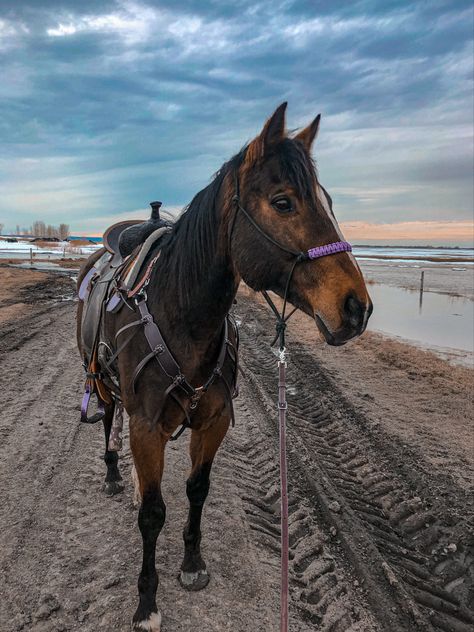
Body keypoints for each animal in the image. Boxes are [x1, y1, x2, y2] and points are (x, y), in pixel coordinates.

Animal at [77, 101, 374, 628]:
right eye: (283, 202)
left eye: (329, 201)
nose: (356, 307)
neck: (182, 317)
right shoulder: (147, 426)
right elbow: (152, 514)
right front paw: (147, 602)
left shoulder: (212, 420)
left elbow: (197, 489)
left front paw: (193, 563)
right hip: (105, 386)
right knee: (110, 420)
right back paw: (114, 475)